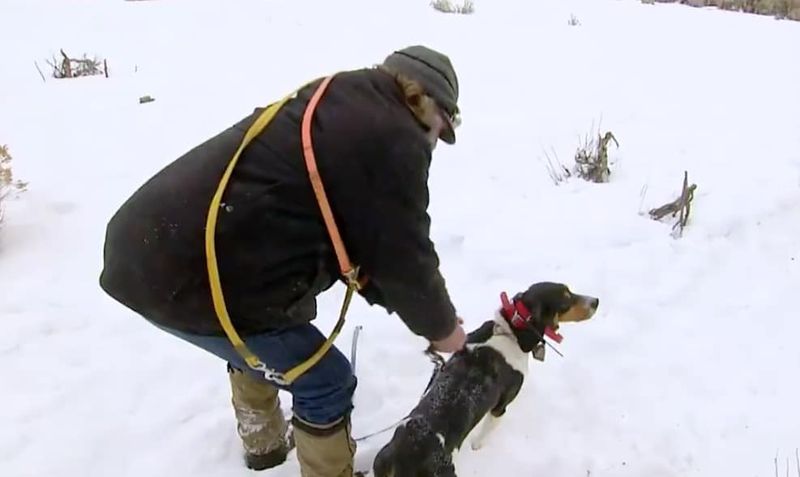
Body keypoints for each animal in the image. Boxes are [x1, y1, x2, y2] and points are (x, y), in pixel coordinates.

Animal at [372, 280, 596, 474]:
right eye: (566, 299)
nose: (596, 301)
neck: (509, 332)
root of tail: (401, 456)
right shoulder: (500, 408)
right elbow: (484, 434)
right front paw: (477, 446)